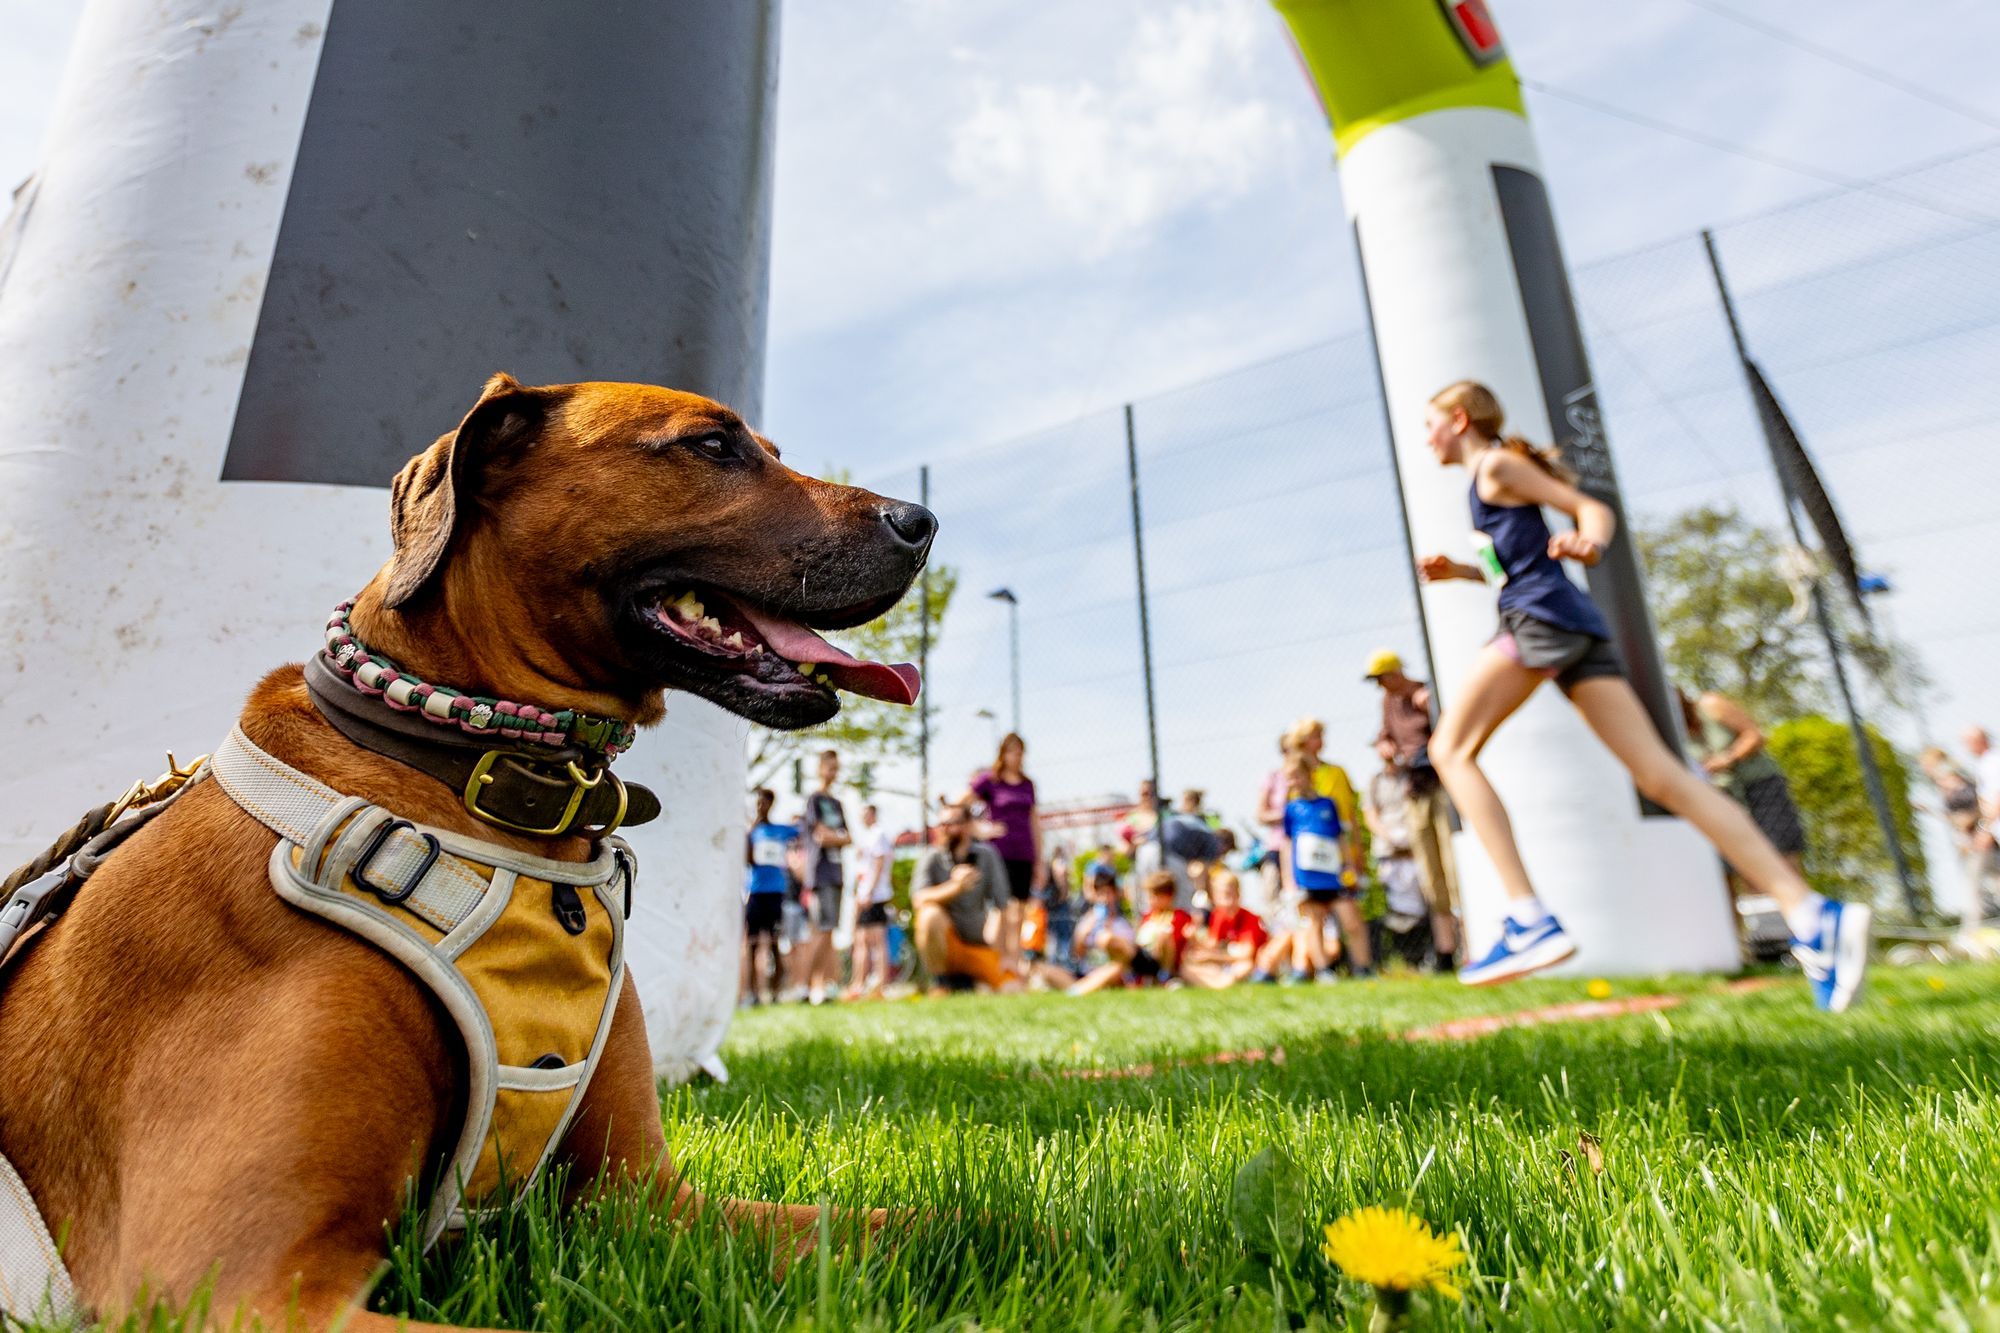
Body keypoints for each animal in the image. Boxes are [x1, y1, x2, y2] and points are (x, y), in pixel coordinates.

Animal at [0, 374, 936, 1328]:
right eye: (713, 446)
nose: (922, 521)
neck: (472, 768)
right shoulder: (243, 1285)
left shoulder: (645, 1202)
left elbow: (919, 1222)